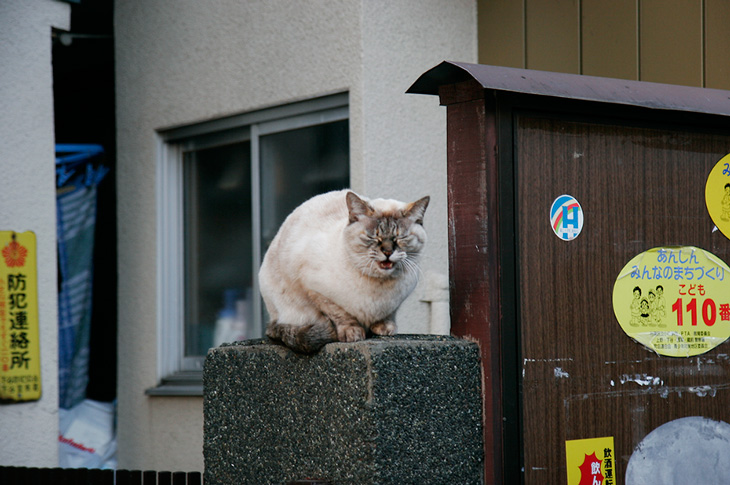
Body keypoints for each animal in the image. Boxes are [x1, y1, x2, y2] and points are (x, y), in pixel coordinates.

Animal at [258, 189, 426, 352]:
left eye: (401, 238)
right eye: (373, 237)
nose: (388, 252)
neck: (380, 286)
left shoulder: (395, 302)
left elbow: (388, 315)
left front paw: (384, 328)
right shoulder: (316, 291)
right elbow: (341, 314)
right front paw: (352, 333)